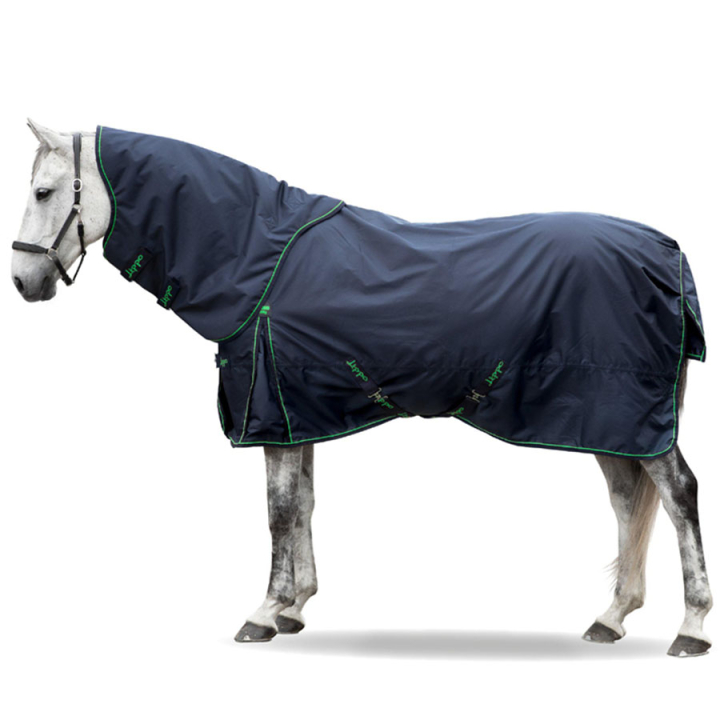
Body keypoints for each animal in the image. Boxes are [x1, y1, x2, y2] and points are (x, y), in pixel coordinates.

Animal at [11, 120, 713, 657]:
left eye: (44, 191)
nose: (22, 280)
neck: (256, 258)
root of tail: (666, 250)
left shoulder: (272, 411)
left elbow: (277, 512)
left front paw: (263, 613)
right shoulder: (297, 411)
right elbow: (303, 504)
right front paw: (296, 606)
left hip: (627, 413)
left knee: (677, 494)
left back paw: (692, 628)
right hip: (610, 420)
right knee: (628, 501)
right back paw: (611, 617)